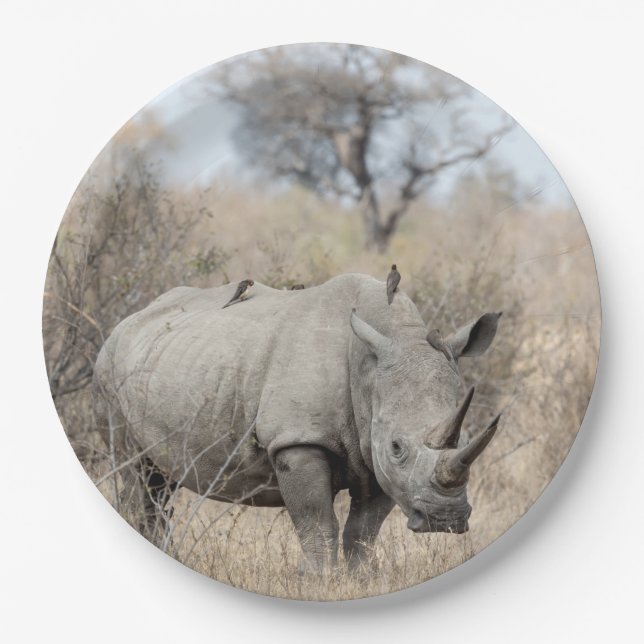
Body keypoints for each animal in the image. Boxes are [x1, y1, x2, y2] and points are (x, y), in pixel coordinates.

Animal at [93, 273, 502, 571]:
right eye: (397, 447)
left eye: (463, 437)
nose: (444, 519)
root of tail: (128, 321)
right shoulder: (298, 439)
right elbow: (317, 523)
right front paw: (323, 580)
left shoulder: (375, 454)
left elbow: (363, 531)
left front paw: (361, 580)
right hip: (109, 371)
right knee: (137, 475)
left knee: (160, 484)